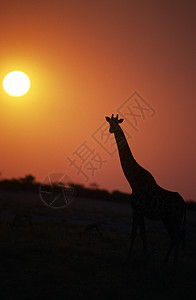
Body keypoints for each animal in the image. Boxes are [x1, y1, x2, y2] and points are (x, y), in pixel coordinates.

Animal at [106, 113, 186, 264]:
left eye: (115, 123)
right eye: (110, 123)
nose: (111, 130)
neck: (133, 182)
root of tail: (184, 204)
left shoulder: (137, 210)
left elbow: (134, 234)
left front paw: (127, 259)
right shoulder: (140, 212)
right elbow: (142, 235)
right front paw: (145, 258)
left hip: (174, 217)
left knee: (178, 237)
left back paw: (173, 263)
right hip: (168, 218)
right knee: (175, 237)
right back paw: (166, 262)